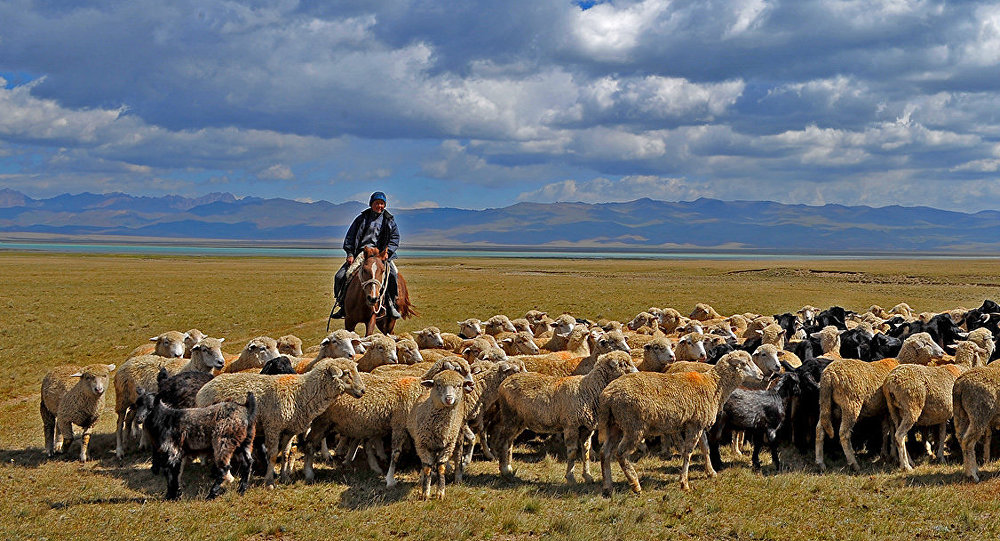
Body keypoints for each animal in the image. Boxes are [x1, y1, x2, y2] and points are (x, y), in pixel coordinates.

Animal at [195, 358, 368, 486]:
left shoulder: (289, 429)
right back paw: (228, 477)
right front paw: (269, 481)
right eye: (346, 373)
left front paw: (285, 477)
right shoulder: (273, 426)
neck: (300, 393)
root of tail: (203, 390)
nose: (362, 391)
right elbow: (272, 455)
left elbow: (286, 453)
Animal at [494, 352, 636, 484]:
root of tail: (504, 382)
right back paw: (504, 470)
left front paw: (588, 476)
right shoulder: (571, 425)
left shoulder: (586, 429)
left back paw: (509, 468)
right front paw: (571, 477)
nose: (636, 372)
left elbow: (586, 451)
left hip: (519, 420)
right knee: (503, 441)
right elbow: (572, 452)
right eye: (624, 364)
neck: (588, 389)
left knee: (510, 441)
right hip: (510, 415)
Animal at [592, 350, 764, 494]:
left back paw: (607, 485)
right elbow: (688, 453)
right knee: (620, 453)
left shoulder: (698, 423)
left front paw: (710, 472)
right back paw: (635, 484)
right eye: (745, 363)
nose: (762, 375)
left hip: (615, 425)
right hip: (633, 425)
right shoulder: (695, 425)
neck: (715, 385)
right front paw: (684, 483)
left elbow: (705, 448)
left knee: (605, 452)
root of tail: (608, 395)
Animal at [812, 332, 944, 470]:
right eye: (927, 343)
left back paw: (820, 462)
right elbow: (894, 431)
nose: (942, 352)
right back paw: (854, 464)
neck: (901, 362)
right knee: (844, 433)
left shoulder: (885, 409)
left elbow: (887, 429)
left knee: (820, 430)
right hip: (850, 404)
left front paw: (888, 455)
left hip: (827, 404)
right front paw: (902, 459)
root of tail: (829, 375)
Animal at [884, 340, 984, 470]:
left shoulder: (943, 413)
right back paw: (906, 466)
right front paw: (941, 457)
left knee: (898, 434)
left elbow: (941, 434)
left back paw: (908, 462)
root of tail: (891, 382)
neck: (962, 367)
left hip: (894, 410)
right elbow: (943, 434)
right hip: (912, 407)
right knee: (900, 435)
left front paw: (940, 456)